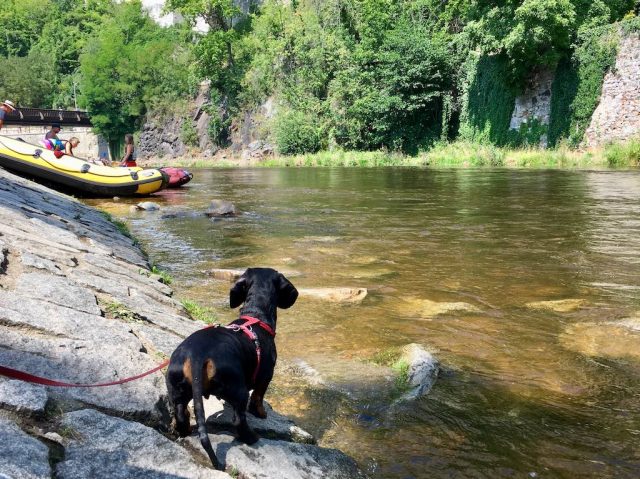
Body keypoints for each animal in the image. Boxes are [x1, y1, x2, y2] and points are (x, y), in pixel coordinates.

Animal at [164, 268, 296, 470]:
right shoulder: (266, 376)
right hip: (239, 390)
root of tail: (196, 354)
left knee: (180, 412)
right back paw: (252, 438)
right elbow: (258, 397)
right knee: (238, 420)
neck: (256, 317)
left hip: (176, 388)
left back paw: (184, 431)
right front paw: (261, 413)